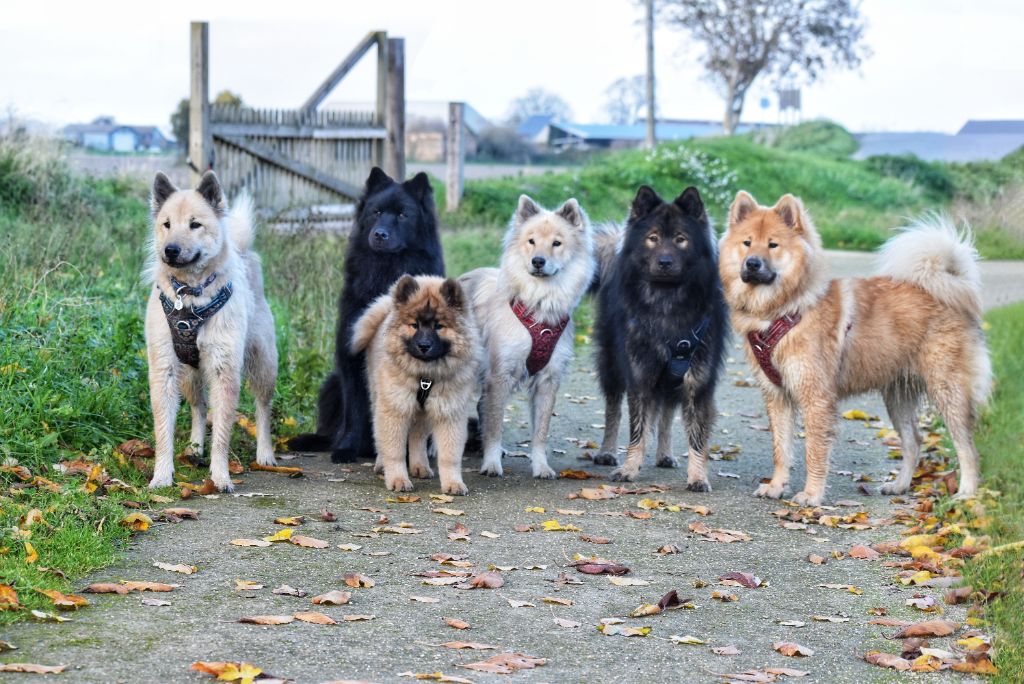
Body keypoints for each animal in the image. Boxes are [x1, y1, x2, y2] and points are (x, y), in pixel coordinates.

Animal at [144, 171, 278, 491]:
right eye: (166, 224)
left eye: (195, 224)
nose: (170, 250)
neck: (189, 297)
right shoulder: (166, 370)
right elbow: (164, 430)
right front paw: (162, 475)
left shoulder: (223, 370)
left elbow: (222, 433)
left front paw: (220, 476)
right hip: (189, 377)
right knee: (199, 407)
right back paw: (194, 448)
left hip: (263, 364)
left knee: (263, 407)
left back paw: (265, 453)